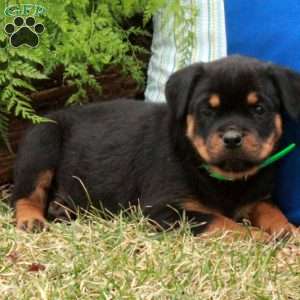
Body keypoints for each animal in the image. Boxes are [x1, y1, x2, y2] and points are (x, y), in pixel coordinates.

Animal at [11, 55, 300, 239]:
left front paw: (288, 231)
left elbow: (271, 210)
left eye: (259, 109)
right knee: (24, 194)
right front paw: (259, 238)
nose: (231, 138)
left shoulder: (258, 197)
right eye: (207, 110)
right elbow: (222, 221)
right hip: (42, 142)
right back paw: (31, 219)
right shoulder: (164, 209)